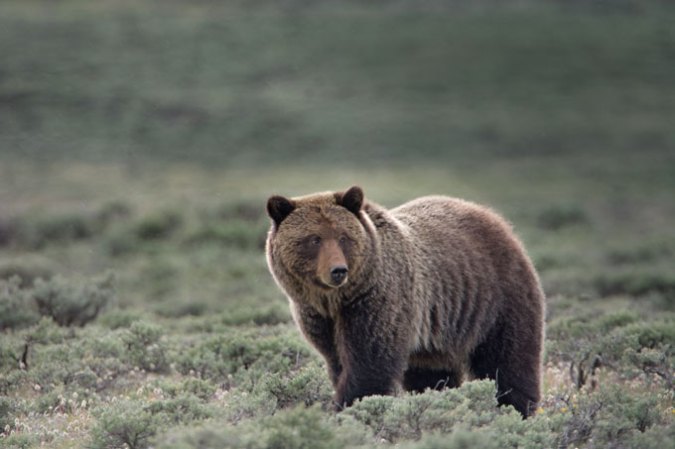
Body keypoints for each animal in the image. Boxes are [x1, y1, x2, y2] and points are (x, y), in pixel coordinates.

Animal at [265, 186, 545, 417]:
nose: (338, 270)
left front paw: (349, 407)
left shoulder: (376, 302)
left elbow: (369, 363)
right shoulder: (319, 317)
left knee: (508, 359)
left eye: (344, 237)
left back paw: (516, 409)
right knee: (431, 375)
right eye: (314, 239)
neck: (336, 300)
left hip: (497, 298)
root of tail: (496, 219)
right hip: (436, 337)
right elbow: (338, 362)